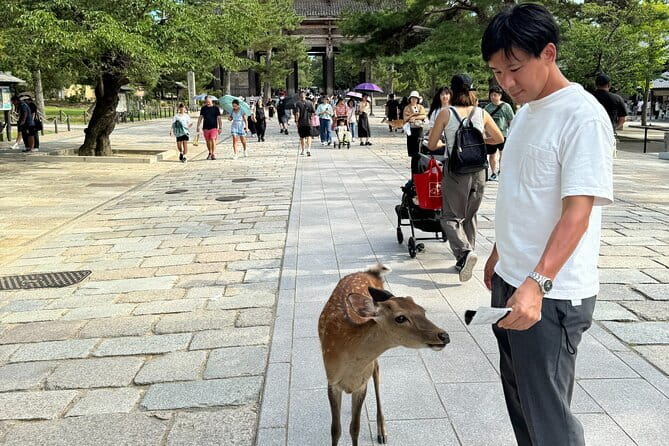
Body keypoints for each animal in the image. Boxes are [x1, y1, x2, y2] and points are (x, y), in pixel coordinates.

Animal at [318, 264, 449, 445]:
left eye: (423, 311)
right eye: (400, 318)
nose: (444, 336)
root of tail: (369, 272)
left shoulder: (362, 384)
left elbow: (355, 428)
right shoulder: (331, 381)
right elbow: (335, 430)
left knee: (376, 370)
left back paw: (382, 431)